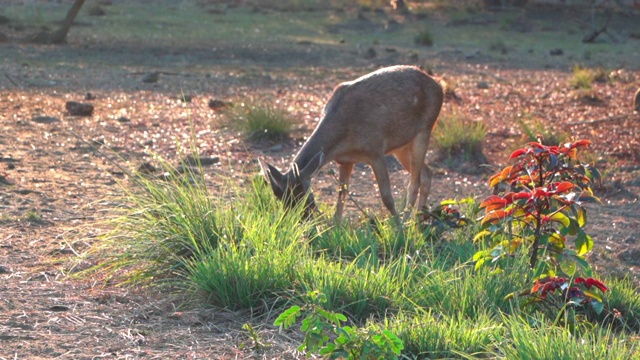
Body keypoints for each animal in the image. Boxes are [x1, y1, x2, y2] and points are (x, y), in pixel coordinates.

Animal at [258, 65, 442, 222]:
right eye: (280, 199)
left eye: (303, 196)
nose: (300, 220)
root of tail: (439, 85)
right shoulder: (345, 160)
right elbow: (342, 194)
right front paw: (335, 228)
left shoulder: (375, 151)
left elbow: (386, 197)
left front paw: (398, 229)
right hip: (401, 146)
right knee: (427, 173)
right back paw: (418, 219)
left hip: (424, 129)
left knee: (414, 181)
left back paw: (407, 222)